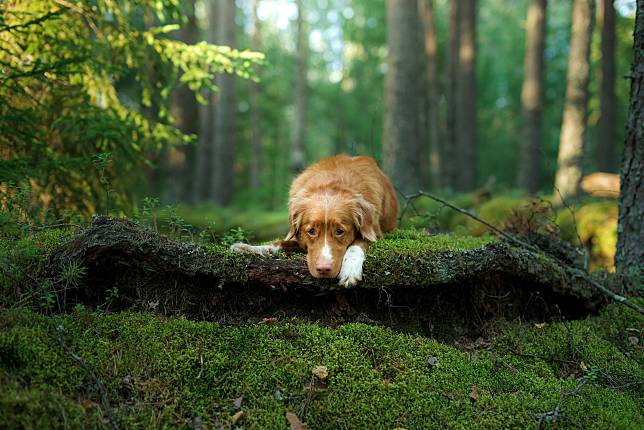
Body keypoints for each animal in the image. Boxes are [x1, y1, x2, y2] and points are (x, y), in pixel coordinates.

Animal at [231, 155, 400, 286]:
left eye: (340, 231)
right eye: (311, 231)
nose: (323, 269)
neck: (332, 183)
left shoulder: (375, 233)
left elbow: (357, 244)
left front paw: (350, 270)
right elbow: (277, 244)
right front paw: (247, 248)